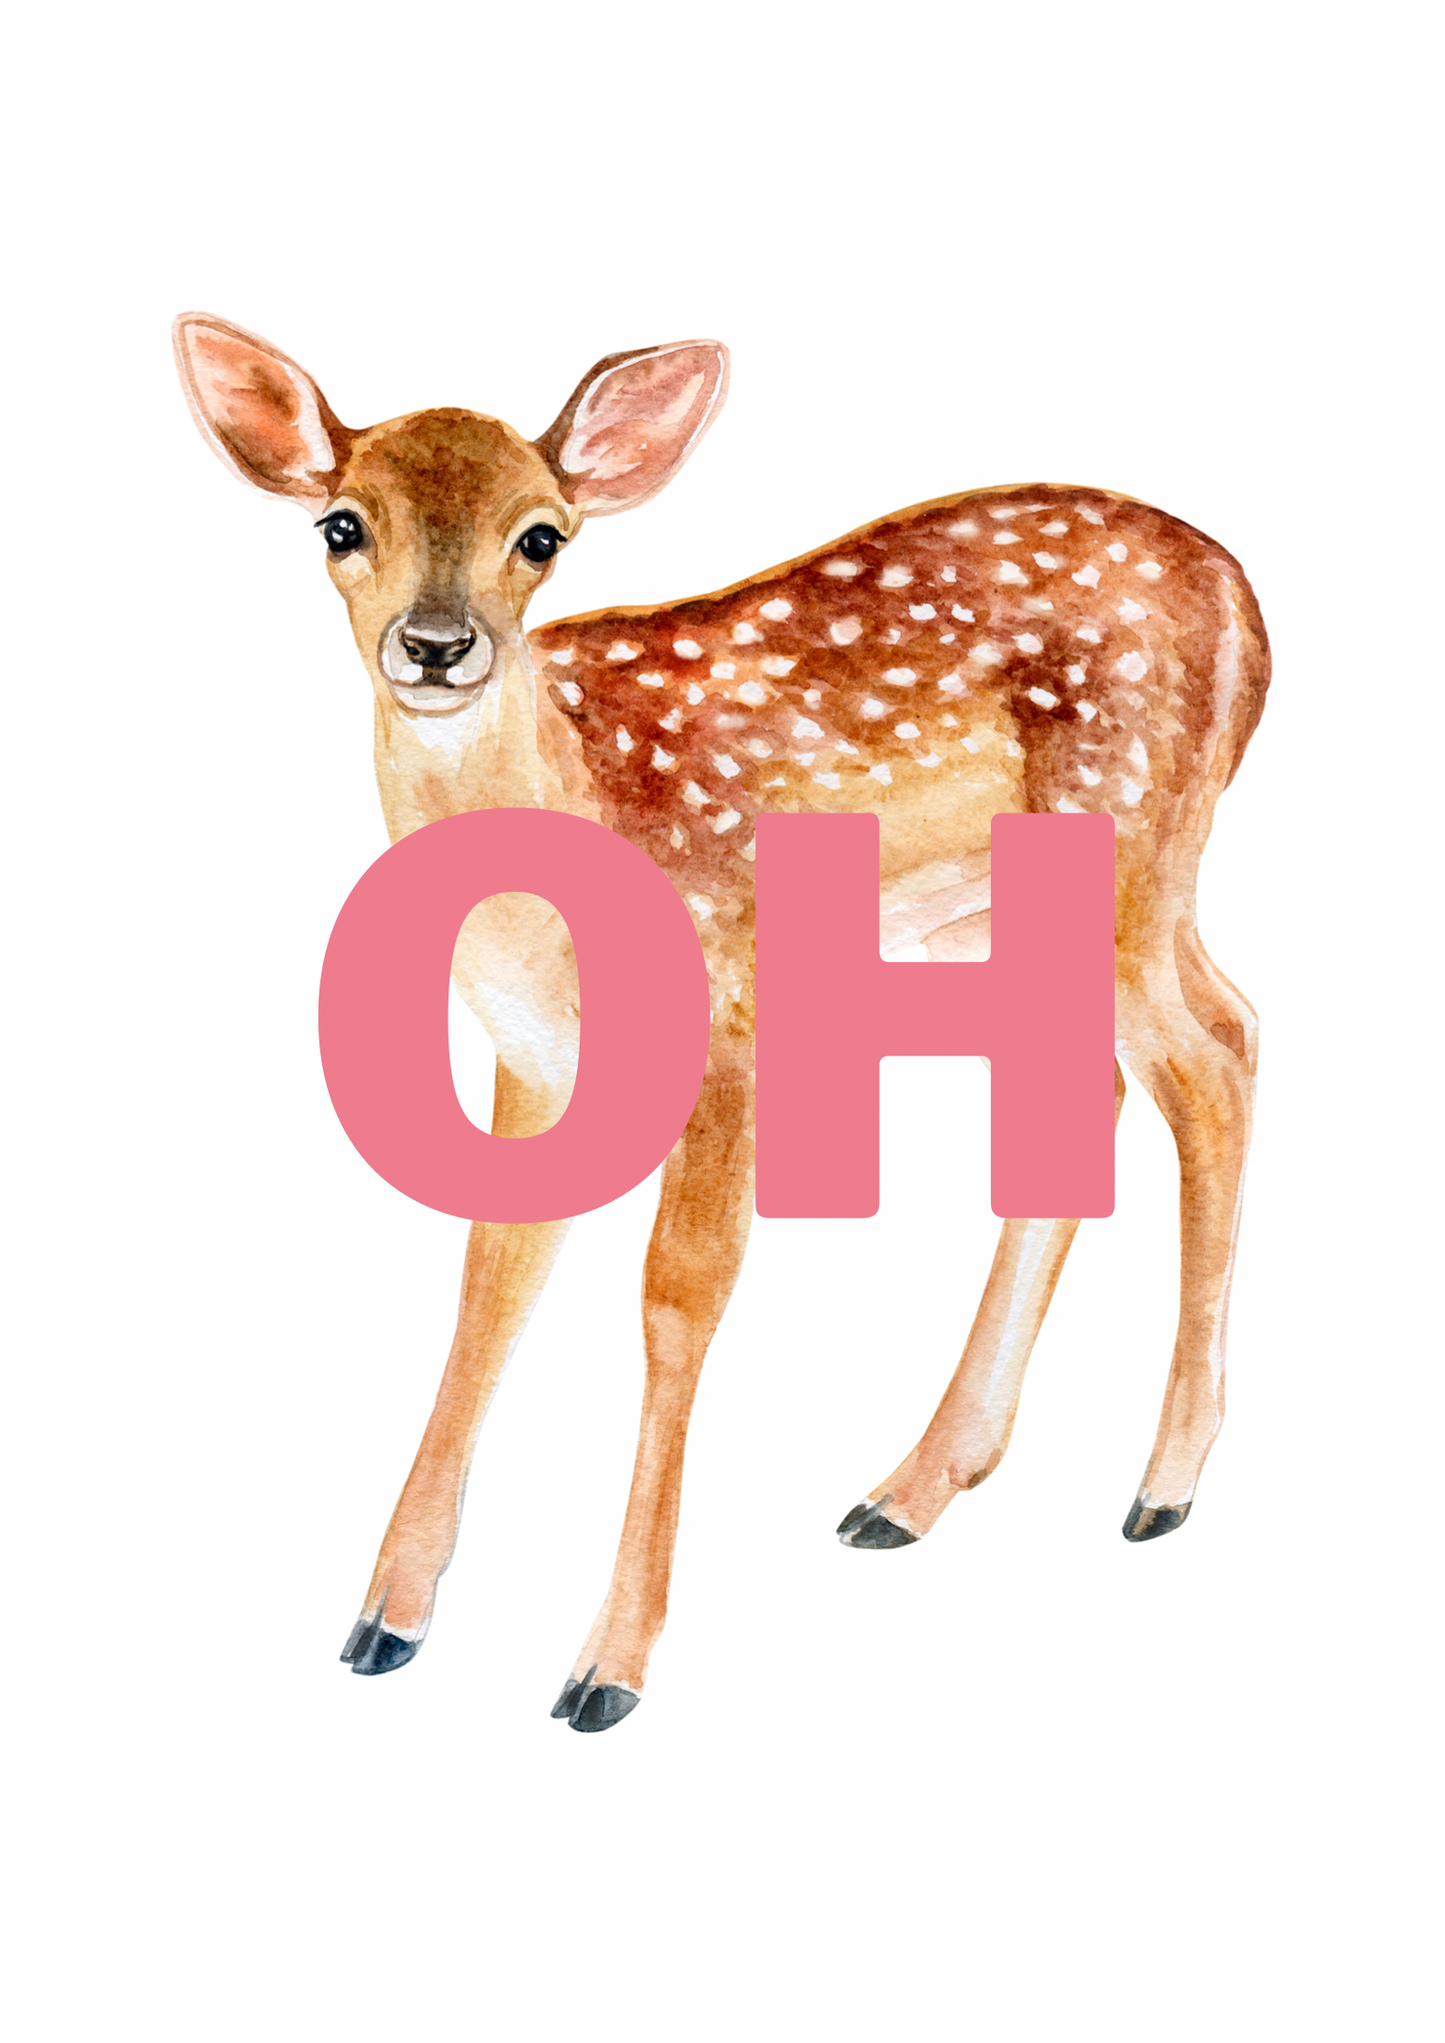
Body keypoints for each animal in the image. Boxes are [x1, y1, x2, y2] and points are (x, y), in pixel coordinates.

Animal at [174, 313, 1268, 1732]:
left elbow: (677, 1296)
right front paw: (386, 1620)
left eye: (542, 536)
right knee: (1112, 1081)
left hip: (1133, 841)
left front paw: (605, 1670)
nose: (436, 645)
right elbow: (492, 1276)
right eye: (341, 523)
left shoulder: (730, 1014)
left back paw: (1159, 1486)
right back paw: (910, 1490)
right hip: (991, 923)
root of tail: (1247, 602)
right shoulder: (531, 1054)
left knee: (1217, 1052)